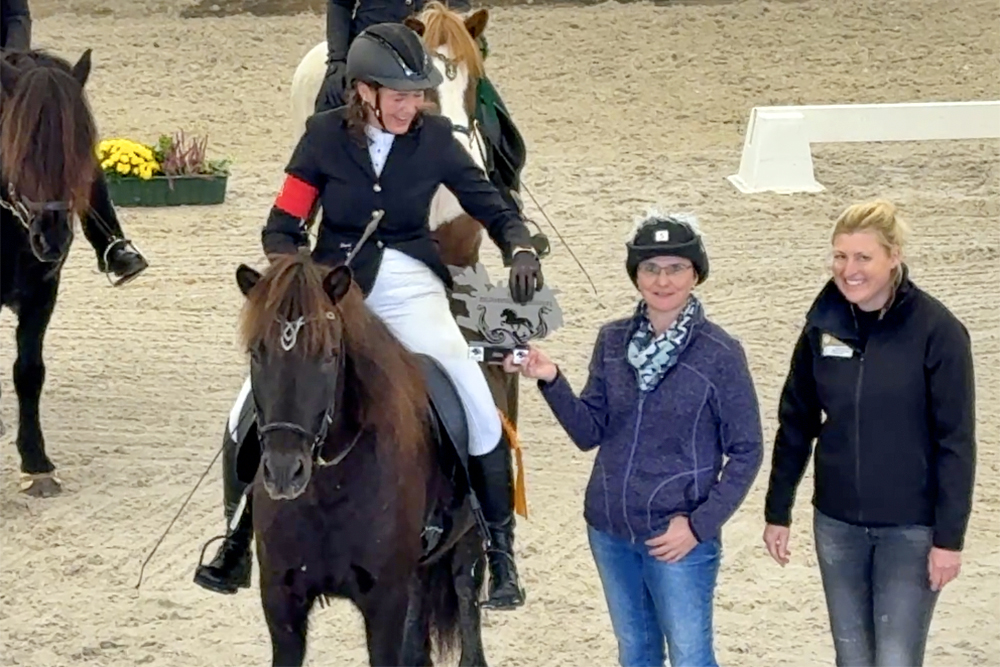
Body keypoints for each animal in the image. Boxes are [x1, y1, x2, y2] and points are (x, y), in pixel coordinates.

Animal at [231, 252, 488, 667]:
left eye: (329, 355)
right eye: (257, 352)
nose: (284, 472)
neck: (328, 487)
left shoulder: (384, 603)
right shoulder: (281, 601)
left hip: (467, 542)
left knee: (467, 596)